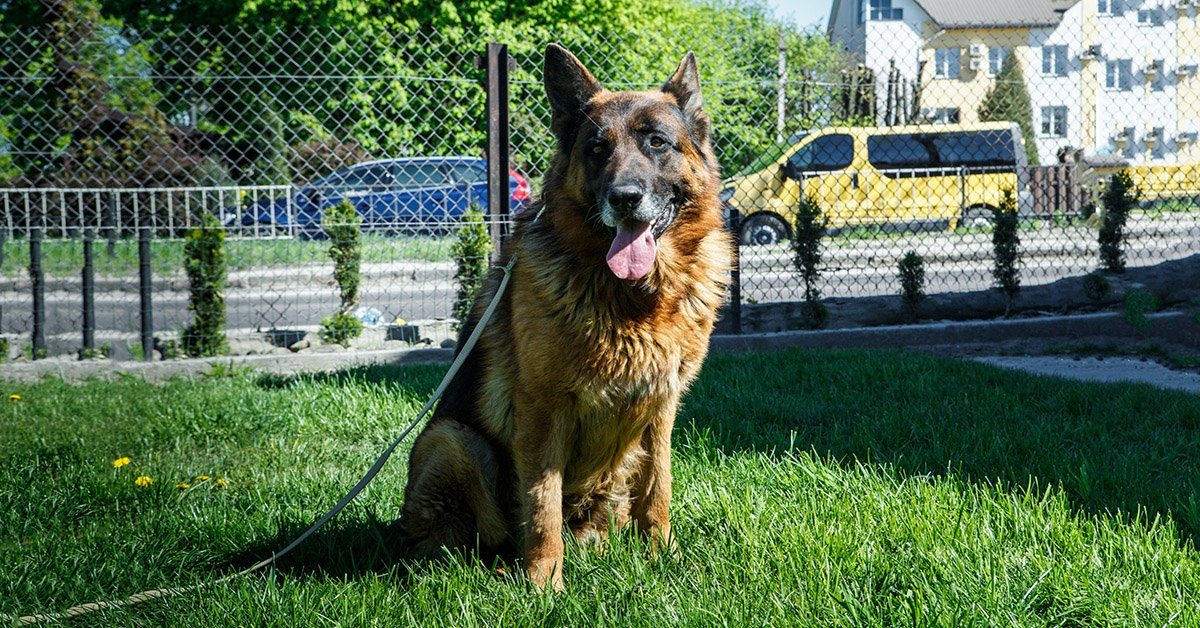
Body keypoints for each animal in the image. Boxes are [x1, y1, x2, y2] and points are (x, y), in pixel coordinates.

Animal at [398, 44, 724, 590]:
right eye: (596, 149)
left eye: (657, 143)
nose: (624, 198)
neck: (634, 300)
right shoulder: (544, 410)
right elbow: (542, 503)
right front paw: (544, 582)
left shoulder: (661, 408)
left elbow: (658, 492)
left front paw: (665, 559)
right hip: (452, 441)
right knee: (467, 538)